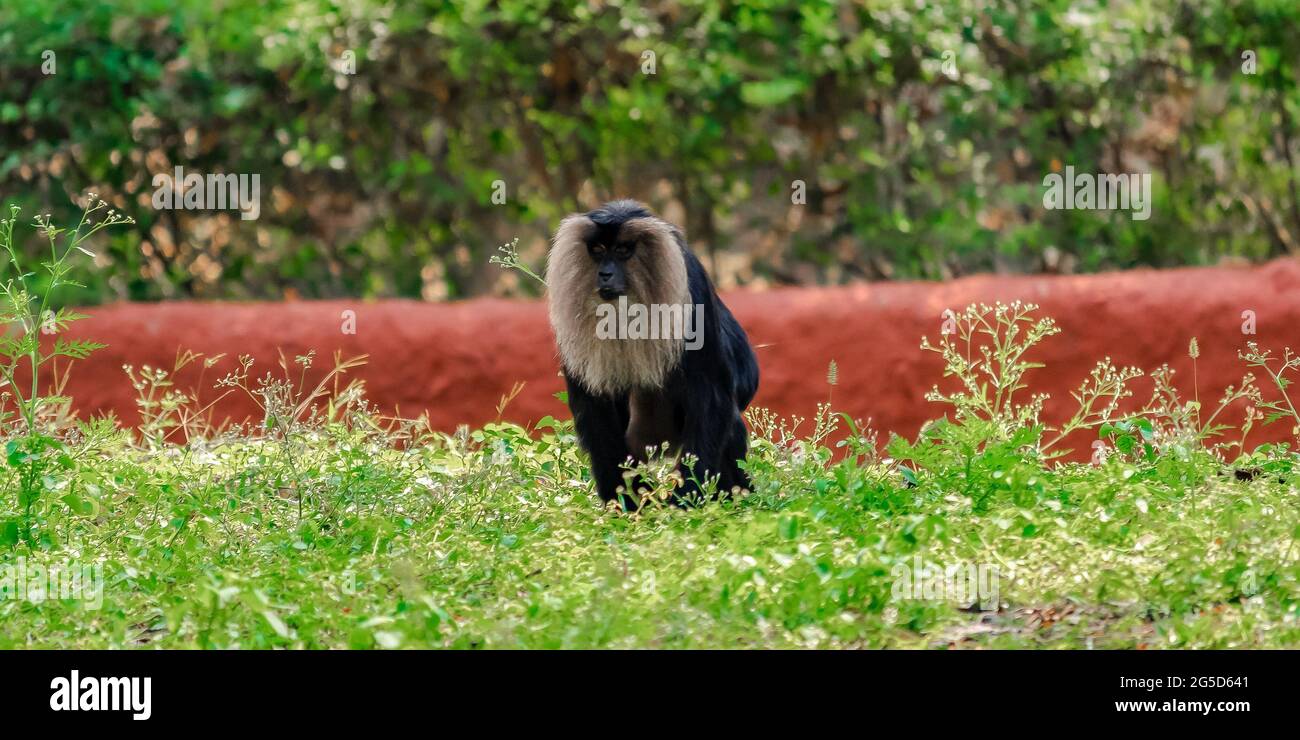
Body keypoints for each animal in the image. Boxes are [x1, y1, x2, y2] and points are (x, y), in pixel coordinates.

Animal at [546, 199, 759, 508]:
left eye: (623, 250)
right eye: (598, 250)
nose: (604, 274)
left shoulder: (692, 287)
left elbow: (711, 396)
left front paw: (686, 500)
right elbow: (595, 408)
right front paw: (624, 501)